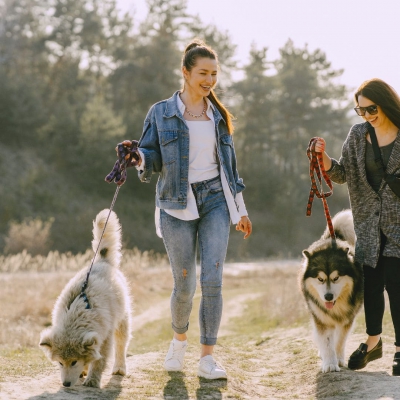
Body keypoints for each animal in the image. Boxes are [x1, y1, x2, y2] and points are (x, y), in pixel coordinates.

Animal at [38, 209, 130, 388]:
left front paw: (92, 380)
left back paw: (119, 368)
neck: (78, 314)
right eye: (60, 363)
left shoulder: (105, 338)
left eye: (74, 362)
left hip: (122, 320)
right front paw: (85, 372)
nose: (66, 384)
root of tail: (102, 261)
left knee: (121, 345)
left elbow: (99, 361)